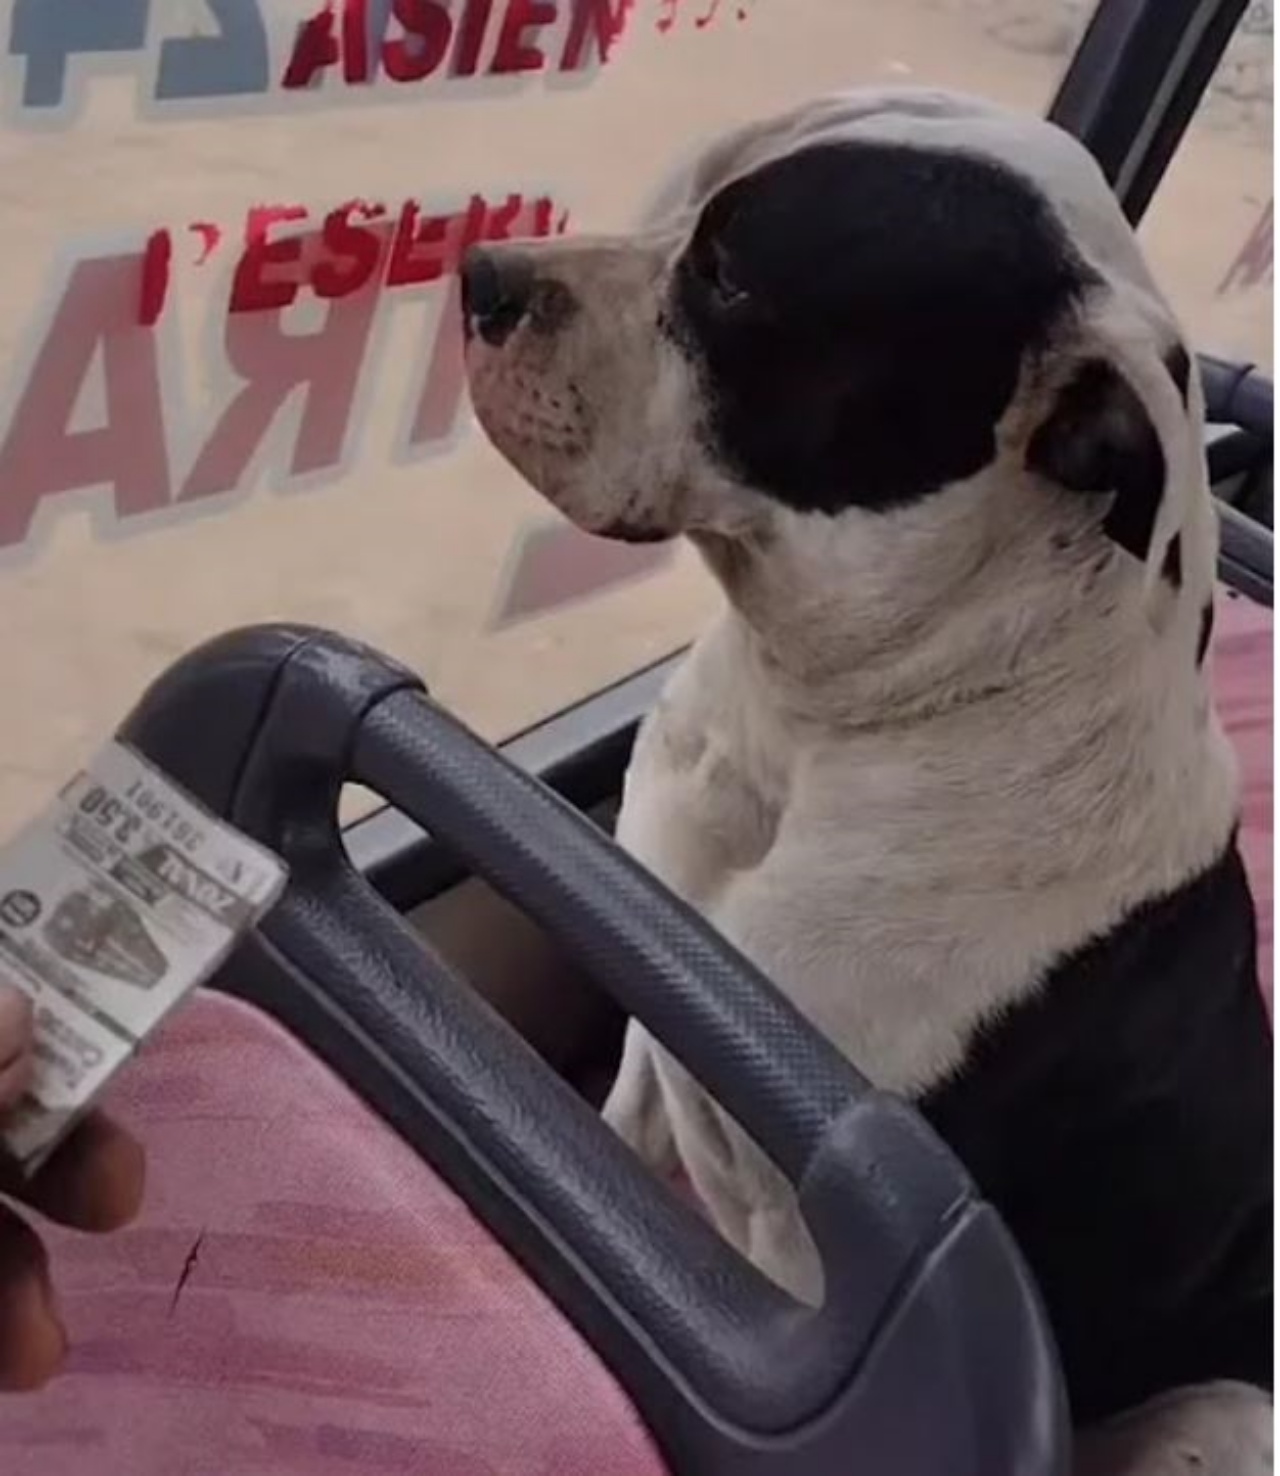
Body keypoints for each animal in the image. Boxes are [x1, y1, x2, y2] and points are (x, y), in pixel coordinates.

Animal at [466, 86, 1275, 1470]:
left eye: (729, 278)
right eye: (680, 206)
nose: (477, 276)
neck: (816, 721)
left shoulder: (810, 1248)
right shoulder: (654, 1003)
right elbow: (615, 1119)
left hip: (1217, 1415)